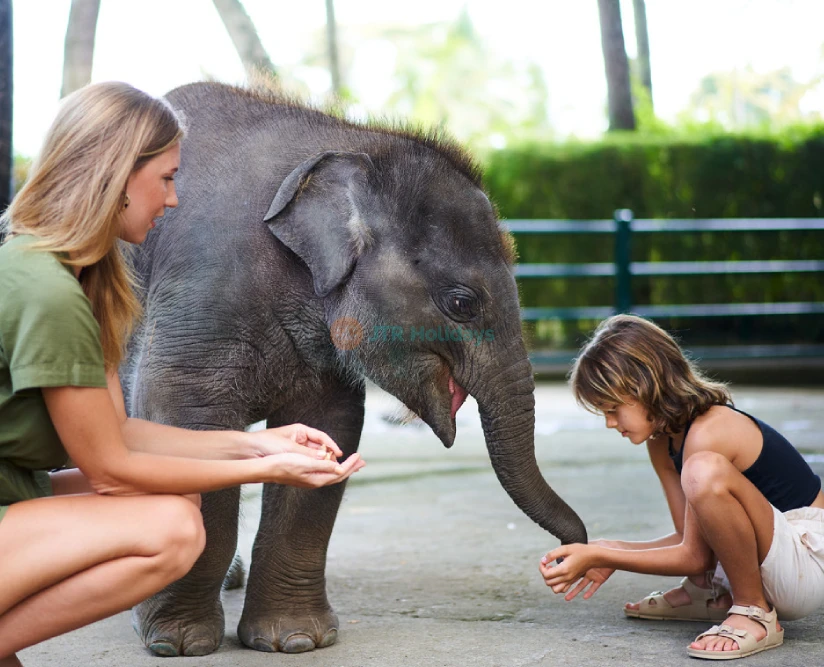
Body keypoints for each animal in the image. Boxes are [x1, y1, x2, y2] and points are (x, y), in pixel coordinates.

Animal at [121, 81, 588, 657]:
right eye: (462, 303)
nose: (566, 558)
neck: (354, 142)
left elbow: (329, 427)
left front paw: (296, 640)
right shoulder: (204, 286)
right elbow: (186, 423)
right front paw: (178, 643)